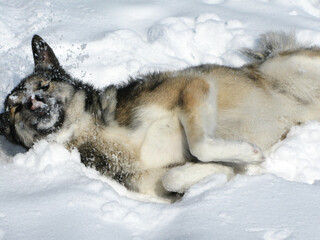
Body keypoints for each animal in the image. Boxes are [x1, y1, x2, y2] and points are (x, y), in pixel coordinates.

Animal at [0, 31, 318, 201]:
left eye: (44, 85)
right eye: (14, 107)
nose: (33, 102)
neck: (92, 131)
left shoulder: (193, 85)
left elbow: (199, 145)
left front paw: (249, 154)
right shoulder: (152, 185)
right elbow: (173, 177)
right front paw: (229, 167)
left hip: (291, 64)